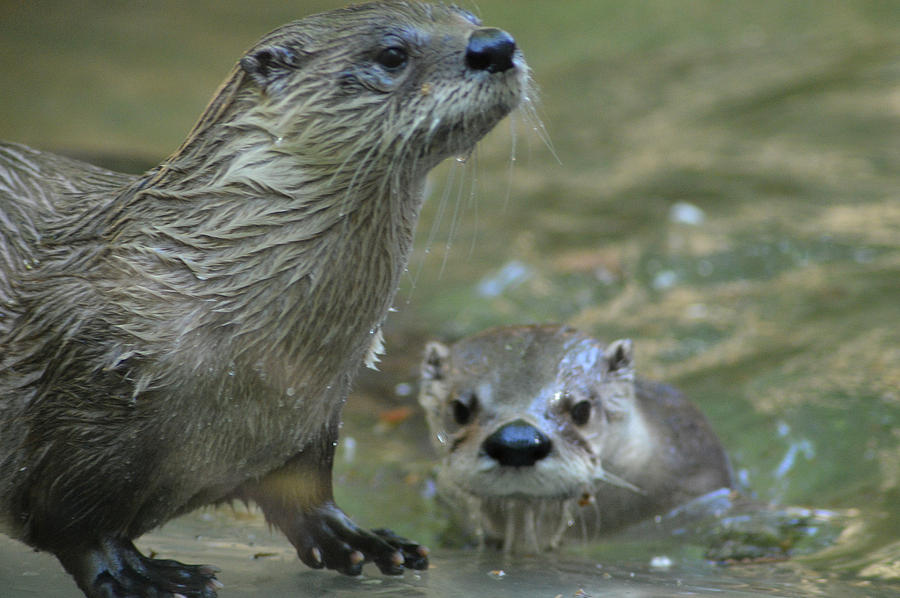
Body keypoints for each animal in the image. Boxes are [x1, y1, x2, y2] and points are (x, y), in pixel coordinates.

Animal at [0, 2, 528, 596]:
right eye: (392, 54)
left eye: (471, 16)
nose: (495, 45)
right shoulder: (83, 401)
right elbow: (76, 525)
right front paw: (139, 575)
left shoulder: (312, 419)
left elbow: (303, 492)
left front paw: (356, 538)